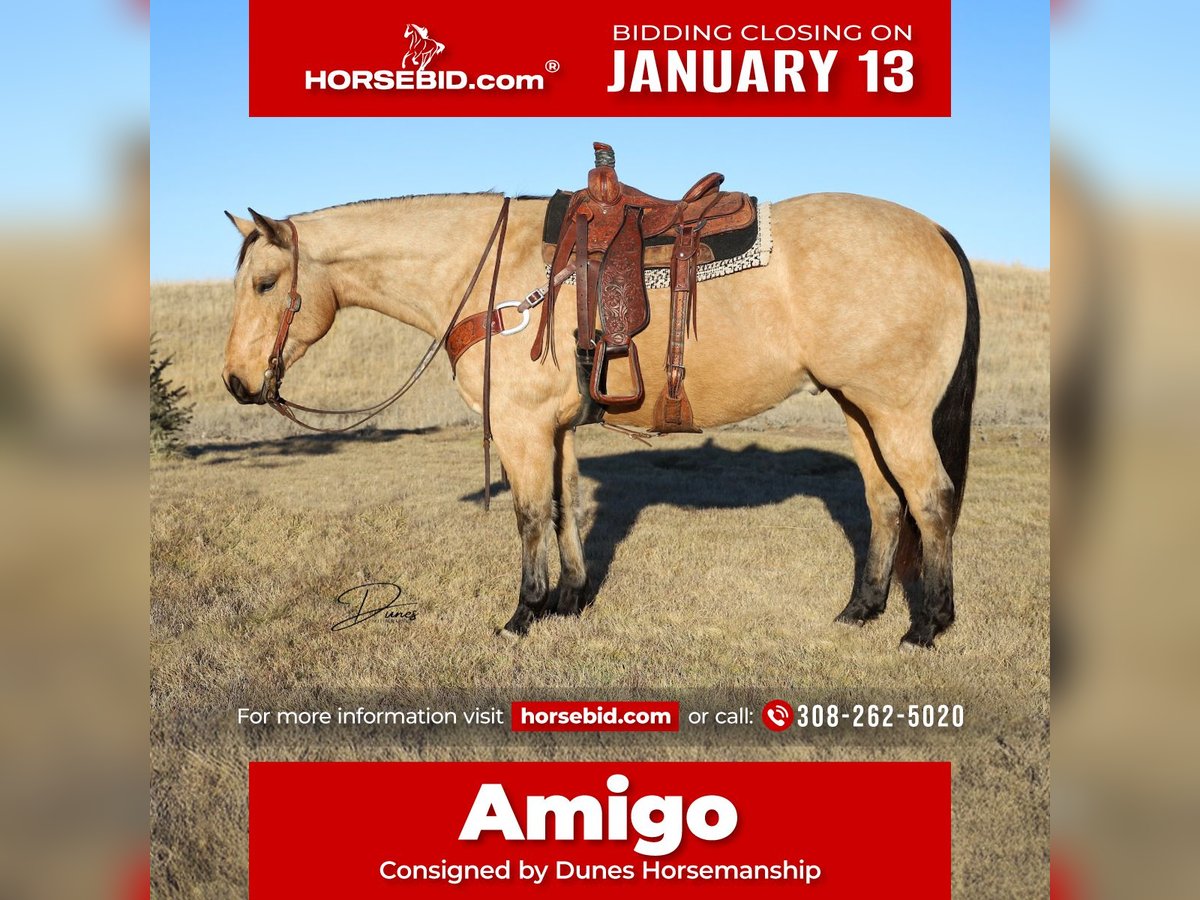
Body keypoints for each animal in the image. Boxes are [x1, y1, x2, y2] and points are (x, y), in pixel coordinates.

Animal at [223, 151, 974, 652]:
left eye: (264, 283)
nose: (236, 381)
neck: (488, 273)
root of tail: (936, 232)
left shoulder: (521, 427)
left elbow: (529, 515)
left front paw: (523, 615)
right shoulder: (554, 430)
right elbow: (565, 506)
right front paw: (570, 600)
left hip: (897, 414)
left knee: (931, 499)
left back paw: (927, 626)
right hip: (859, 409)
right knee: (885, 503)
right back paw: (862, 610)